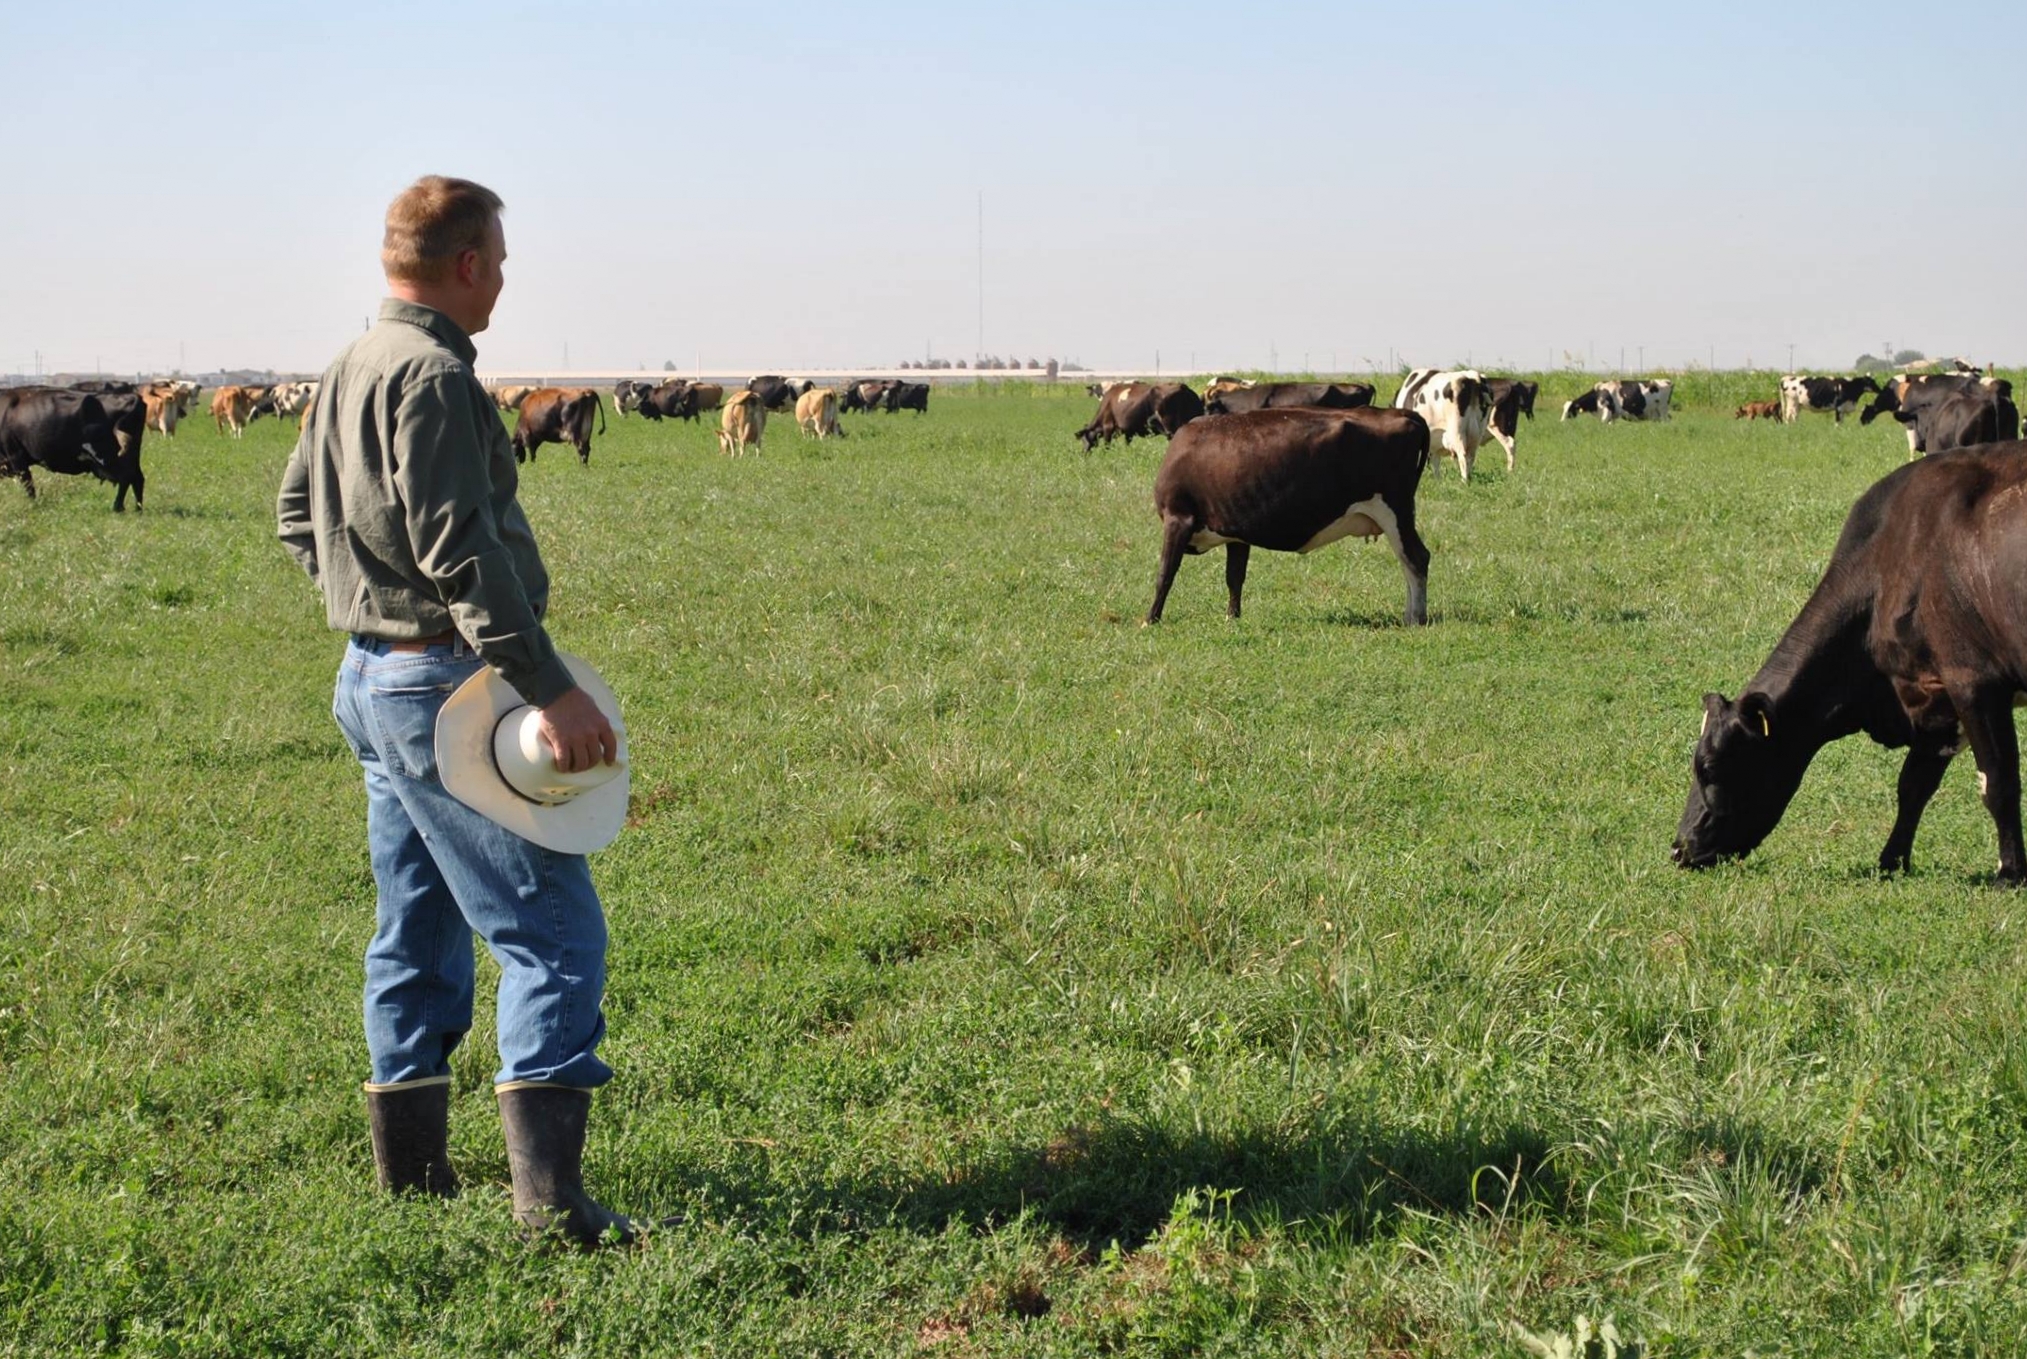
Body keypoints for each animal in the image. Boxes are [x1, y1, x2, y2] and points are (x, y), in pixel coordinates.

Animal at [0, 389, 139, 511]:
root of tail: (132, 397)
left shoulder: (16, 456)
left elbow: (28, 486)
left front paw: (33, 506)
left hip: (112, 457)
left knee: (127, 477)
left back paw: (118, 508)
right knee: (137, 478)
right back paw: (138, 510)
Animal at [1151, 407, 1435, 624]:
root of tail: (1402, 413)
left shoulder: (1178, 517)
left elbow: (1165, 572)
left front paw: (1150, 619)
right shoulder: (1236, 534)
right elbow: (1234, 577)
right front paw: (1232, 618)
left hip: (1395, 510)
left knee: (1416, 558)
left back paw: (1416, 618)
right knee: (1408, 561)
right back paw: (1409, 615)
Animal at [1678, 442, 2027, 880]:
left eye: (1708, 766)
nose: (1679, 848)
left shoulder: (1973, 681)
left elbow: (1998, 781)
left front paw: (2010, 872)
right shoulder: (1930, 696)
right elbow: (1913, 785)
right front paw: (1892, 861)